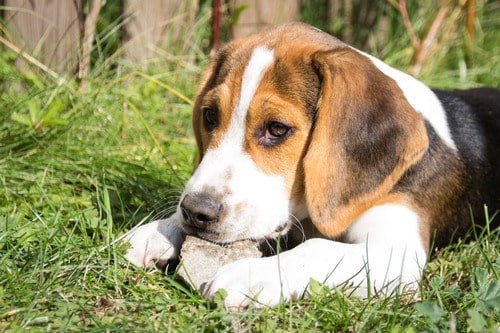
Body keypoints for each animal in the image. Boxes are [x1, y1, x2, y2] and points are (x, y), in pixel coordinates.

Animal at [123, 22, 498, 308]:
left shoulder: (397, 251)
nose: (196, 212)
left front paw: (252, 274)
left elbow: (318, 248)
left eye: (277, 129)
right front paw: (158, 231)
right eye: (210, 116)